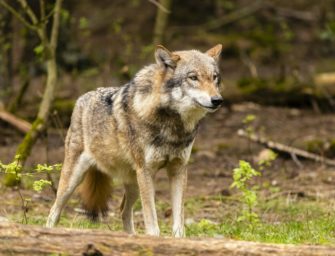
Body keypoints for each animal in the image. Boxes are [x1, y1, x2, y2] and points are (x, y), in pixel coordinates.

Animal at [44, 43, 223, 236]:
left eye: (214, 77)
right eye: (193, 78)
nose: (217, 100)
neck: (173, 127)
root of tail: (82, 98)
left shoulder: (178, 169)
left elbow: (178, 225)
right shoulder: (146, 171)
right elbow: (153, 226)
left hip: (134, 183)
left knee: (123, 211)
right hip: (73, 181)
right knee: (53, 211)